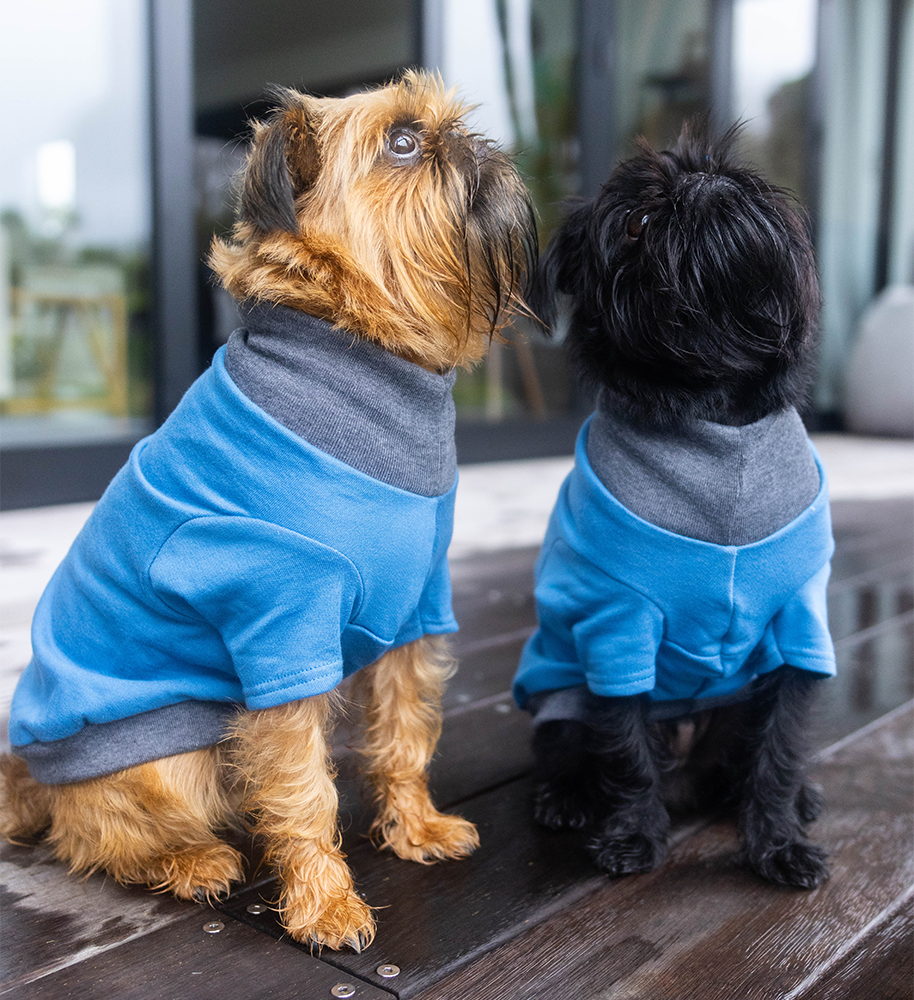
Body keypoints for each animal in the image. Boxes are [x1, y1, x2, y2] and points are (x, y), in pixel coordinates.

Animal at [1, 74, 536, 948]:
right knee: (93, 837)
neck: (356, 349)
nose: (474, 144)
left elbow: (404, 732)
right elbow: (302, 789)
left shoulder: (417, 609)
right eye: (402, 142)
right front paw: (325, 904)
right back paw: (189, 860)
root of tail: (29, 775)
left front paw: (415, 827)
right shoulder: (280, 627)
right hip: (166, 760)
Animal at [512, 125, 832, 892]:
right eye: (635, 222)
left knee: (747, 758)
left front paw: (779, 842)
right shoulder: (617, 628)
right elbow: (627, 752)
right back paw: (565, 798)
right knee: (571, 749)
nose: (699, 184)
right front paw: (632, 835)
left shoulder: (801, 626)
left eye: (739, 175)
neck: (715, 420)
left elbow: (780, 754)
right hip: (560, 700)